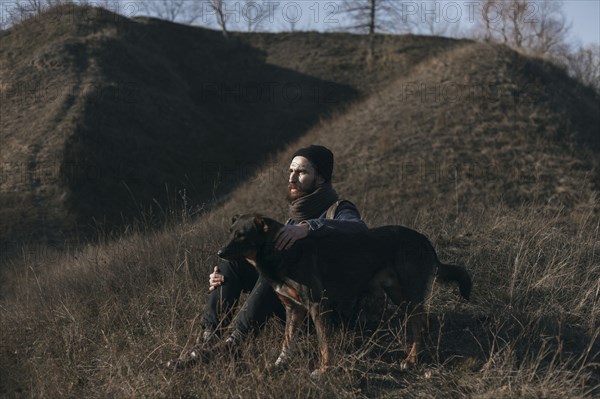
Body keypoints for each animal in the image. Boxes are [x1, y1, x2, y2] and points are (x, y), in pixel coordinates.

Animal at [217, 214, 474, 376]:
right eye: (229, 233)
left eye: (242, 235)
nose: (219, 253)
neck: (278, 251)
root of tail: (424, 239)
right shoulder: (294, 308)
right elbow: (287, 342)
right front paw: (279, 364)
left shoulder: (317, 305)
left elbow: (324, 344)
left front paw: (324, 370)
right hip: (399, 295)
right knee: (424, 320)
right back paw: (421, 352)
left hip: (409, 293)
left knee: (419, 323)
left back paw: (411, 359)